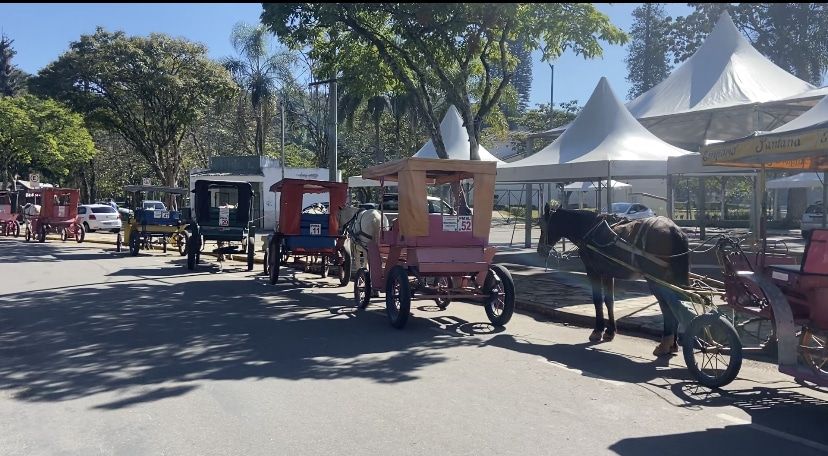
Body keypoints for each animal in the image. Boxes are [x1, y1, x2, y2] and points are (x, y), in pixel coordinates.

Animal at [540, 204, 688, 356]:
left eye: (542, 225)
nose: (540, 250)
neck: (589, 228)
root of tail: (674, 230)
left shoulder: (593, 271)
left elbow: (598, 301)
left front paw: (597, 330)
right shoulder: (607, 273)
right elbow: (609, 301)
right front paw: (610, 331)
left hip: (656, 280)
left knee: (667, 307)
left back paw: (665, 343)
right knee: (675, 305)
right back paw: (673, 344)